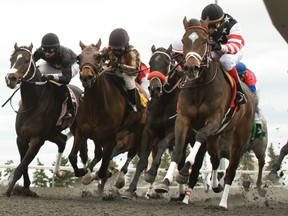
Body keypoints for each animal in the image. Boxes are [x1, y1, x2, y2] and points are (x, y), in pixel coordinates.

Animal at [3, 43, 82, 197]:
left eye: (26, 60)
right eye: (11, 59)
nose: (10, 78)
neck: (32, 104)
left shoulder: (37, 140)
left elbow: (21, 166)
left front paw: (8, 192)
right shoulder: (21, 138)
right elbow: (24, 164)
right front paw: (26, 188)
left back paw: (85, 173)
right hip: (52, 133)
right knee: (63, 140)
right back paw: (60, 172)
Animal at [68, 38, 146, 192]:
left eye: (99, 57)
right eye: (79, 58)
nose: (86, 77)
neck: (95, 105)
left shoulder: (110, 139)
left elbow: (104, 169)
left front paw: (103, 174)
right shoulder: (81, 131)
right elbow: (73, 157)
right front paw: (83, 172)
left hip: (138, 131)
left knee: (131, 153)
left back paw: (120, 179)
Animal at [154, 17, 255, 208]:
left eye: (204, 41)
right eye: (184, 40)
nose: (191, 68)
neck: (201, 86)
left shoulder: (213, 120)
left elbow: (200, 137)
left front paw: (184, 172)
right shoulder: (183, 118)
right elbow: (178, 151)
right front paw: (165, 182)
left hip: (238, 140)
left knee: (230, 171)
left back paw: (223, 203)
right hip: (215, 137)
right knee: (215, 159)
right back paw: (215, 184)